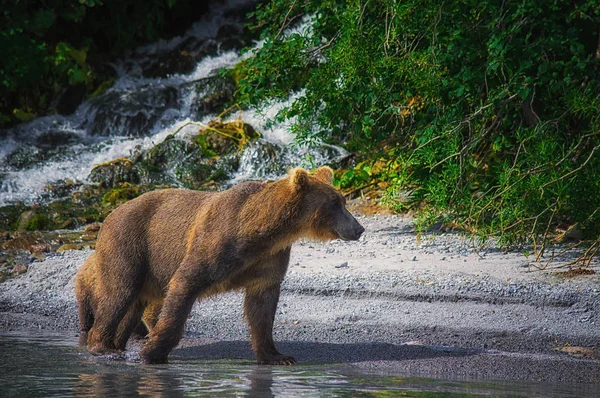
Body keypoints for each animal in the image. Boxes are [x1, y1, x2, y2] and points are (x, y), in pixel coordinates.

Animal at [76, 166, 366, 366]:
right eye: (335, 203)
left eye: (343, 201)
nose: (359, 228)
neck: (261, 232)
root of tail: (111, 213)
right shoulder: (216, 242)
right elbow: (184, 283)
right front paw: (153, 353)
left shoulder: (268, 260)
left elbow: (262, 307)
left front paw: (277, 355)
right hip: (130, 244)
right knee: (119, 293)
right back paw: (101, 345)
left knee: (133, 304)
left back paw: (116, 343)